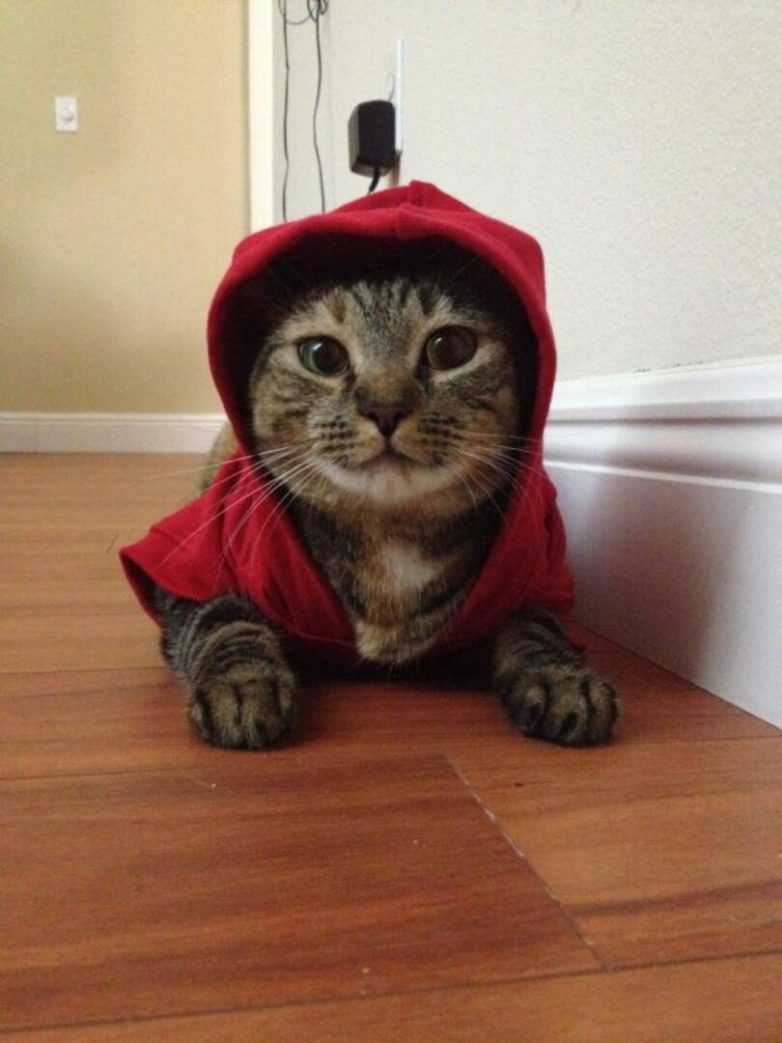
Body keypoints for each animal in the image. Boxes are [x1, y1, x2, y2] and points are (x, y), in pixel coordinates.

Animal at [151, 256, 619, 750]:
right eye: (322, 355)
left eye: (451, 348)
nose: (385, 408)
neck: (391, 534)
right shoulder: (190, 560)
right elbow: (224, 618)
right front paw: (242, 688)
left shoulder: (534, 570)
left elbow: (536, 623)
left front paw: (563, 681)